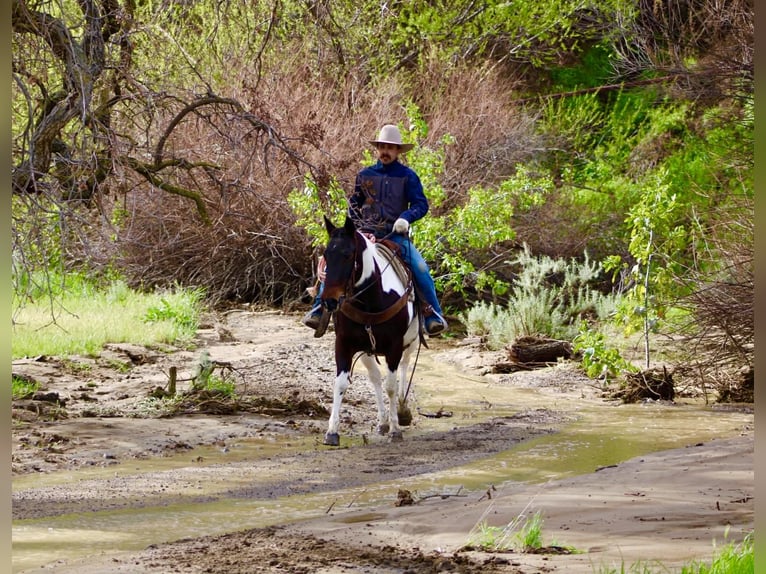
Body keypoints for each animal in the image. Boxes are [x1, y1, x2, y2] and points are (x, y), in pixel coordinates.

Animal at [319, 215, 420, 446]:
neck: (370, 301)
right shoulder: (344, 343)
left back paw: (402, 410)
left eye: (347, 254)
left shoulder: (394, 346)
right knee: (374, 377)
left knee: (405, 366)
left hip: (411, 342)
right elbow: (340, 384)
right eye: (326, 254)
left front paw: (395, 429)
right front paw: (332, 432)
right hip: (366, 351)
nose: (329, 301)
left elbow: (391, 385)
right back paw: (382, 422)